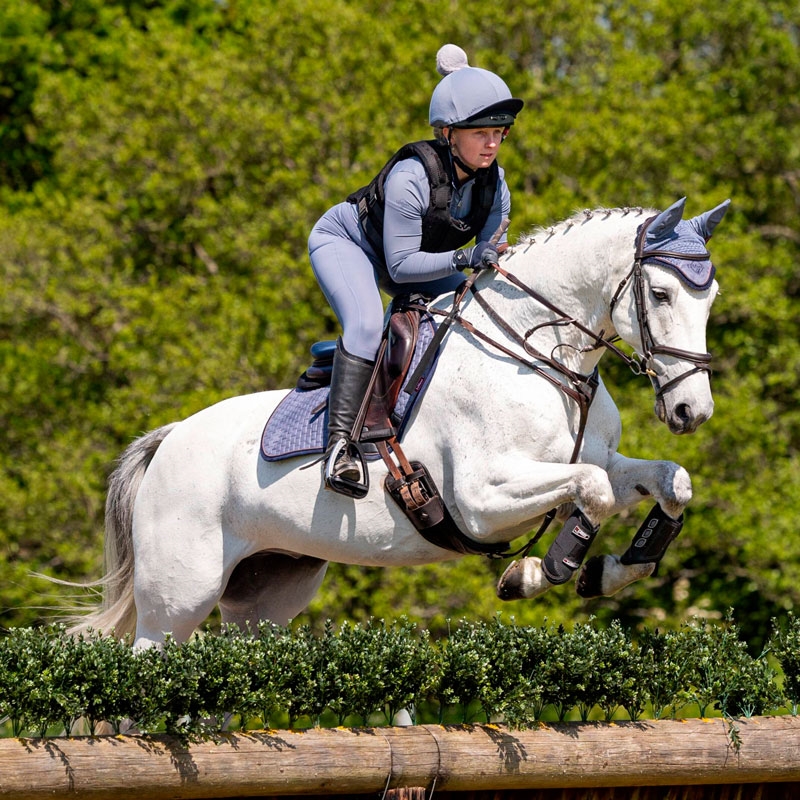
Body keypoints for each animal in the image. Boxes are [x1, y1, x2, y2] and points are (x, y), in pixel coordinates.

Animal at [75, 195, 732, 648]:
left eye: (711, 298)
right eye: (662, 295)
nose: (691, 411)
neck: (539, 355)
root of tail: (167, 439)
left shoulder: (599, 461)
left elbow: (671, 482)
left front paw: (608, 573)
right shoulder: (482, 500)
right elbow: (592, 494)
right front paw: (535, 574)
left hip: (265, 597)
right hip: (179, 599)